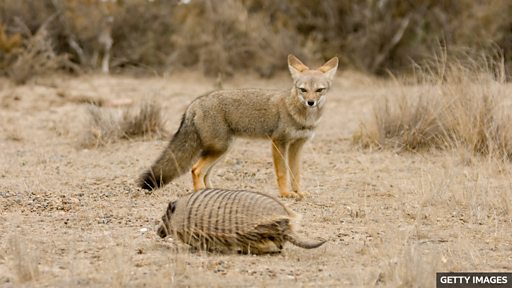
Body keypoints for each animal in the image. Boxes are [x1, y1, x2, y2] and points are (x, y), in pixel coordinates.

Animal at [138, 54, 338, 198]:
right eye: (303, 90)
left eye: (319, 90)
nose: (311, 102)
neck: (303, 117)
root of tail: (195, 103)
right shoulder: (278, 142)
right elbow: (282, 172)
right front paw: (286, 194)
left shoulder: (297, 145)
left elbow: (296, 173)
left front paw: (298, 192)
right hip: (220, 148)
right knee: (196, 169)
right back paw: (200, 193)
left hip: (222, 149)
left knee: (205, 173)